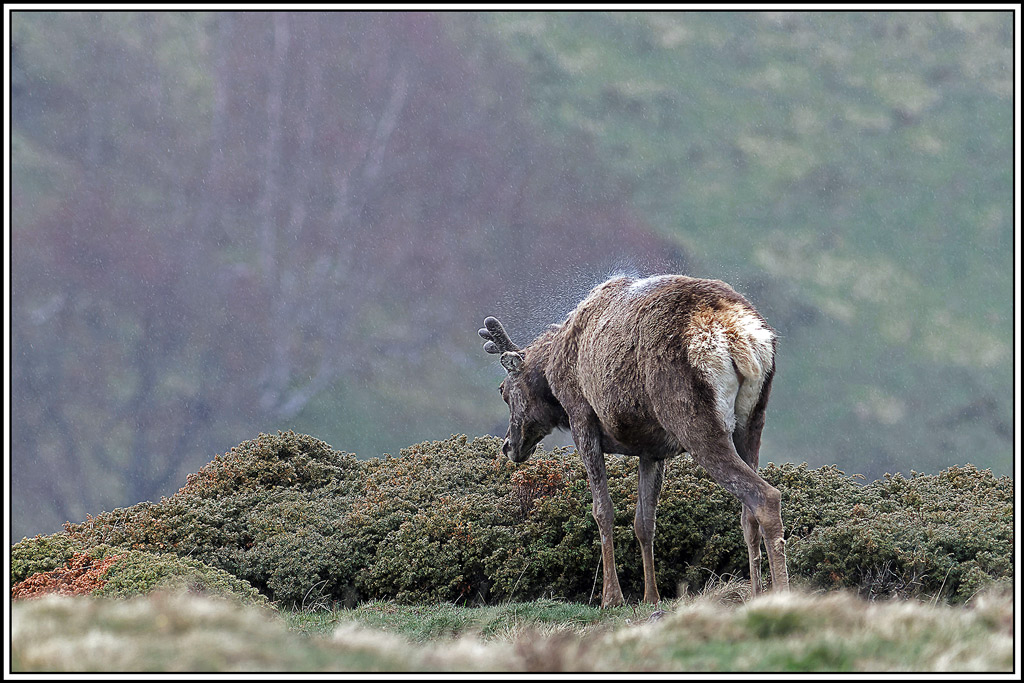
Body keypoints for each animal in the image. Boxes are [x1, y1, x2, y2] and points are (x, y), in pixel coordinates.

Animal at [479, 274, 789, 607]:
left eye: (503, 390)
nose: (508, 447)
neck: (551, 373)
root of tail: (740, 336)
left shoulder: (581, 418)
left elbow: (603, 510)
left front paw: (611, 597)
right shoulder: (652, 449)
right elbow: (644, 522)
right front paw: (651, 597)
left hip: (693, 419)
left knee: (765, 496)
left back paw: (782, 593)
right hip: (752, 420)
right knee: (747, 512)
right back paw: (757, 594)